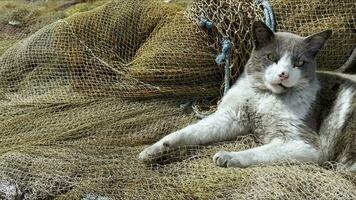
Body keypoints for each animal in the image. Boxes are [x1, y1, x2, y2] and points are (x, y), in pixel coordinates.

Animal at [140, 20, 356, 172]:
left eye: (299, 63)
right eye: (271, 57)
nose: (283, 74)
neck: (265, 97)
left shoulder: (305, 144)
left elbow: (259, 152)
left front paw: (229, 156)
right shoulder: (231, 117)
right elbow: (190, 131)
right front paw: (155, 149)